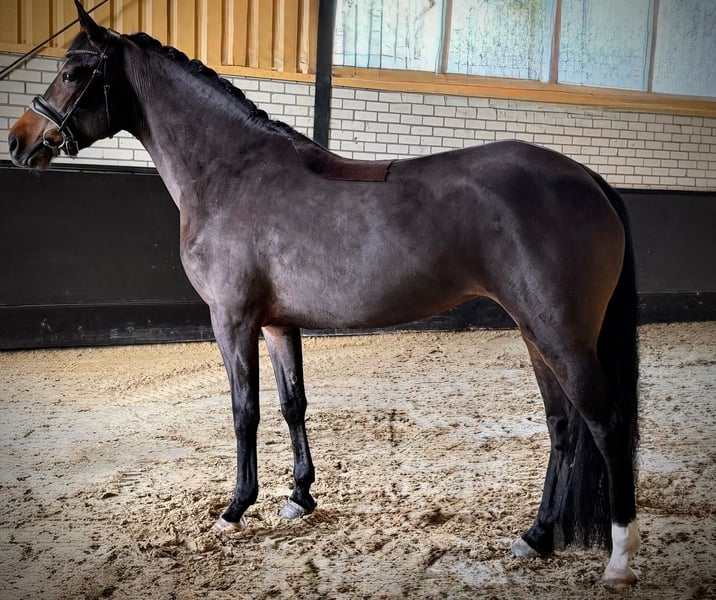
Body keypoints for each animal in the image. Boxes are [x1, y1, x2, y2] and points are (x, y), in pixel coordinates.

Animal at [8, 2, 640, 588]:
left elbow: (244, 410)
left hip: (560, 334)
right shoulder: (275, 324)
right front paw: (300, 497)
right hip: (535, 333)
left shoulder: (231, 320)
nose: (19, 143)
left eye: (72, 72)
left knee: (606, 424)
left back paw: (619, 560)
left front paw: (235, 509)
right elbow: (293, 404)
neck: (229, 173)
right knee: (563, 427)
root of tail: (585, 177)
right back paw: (537, 537)